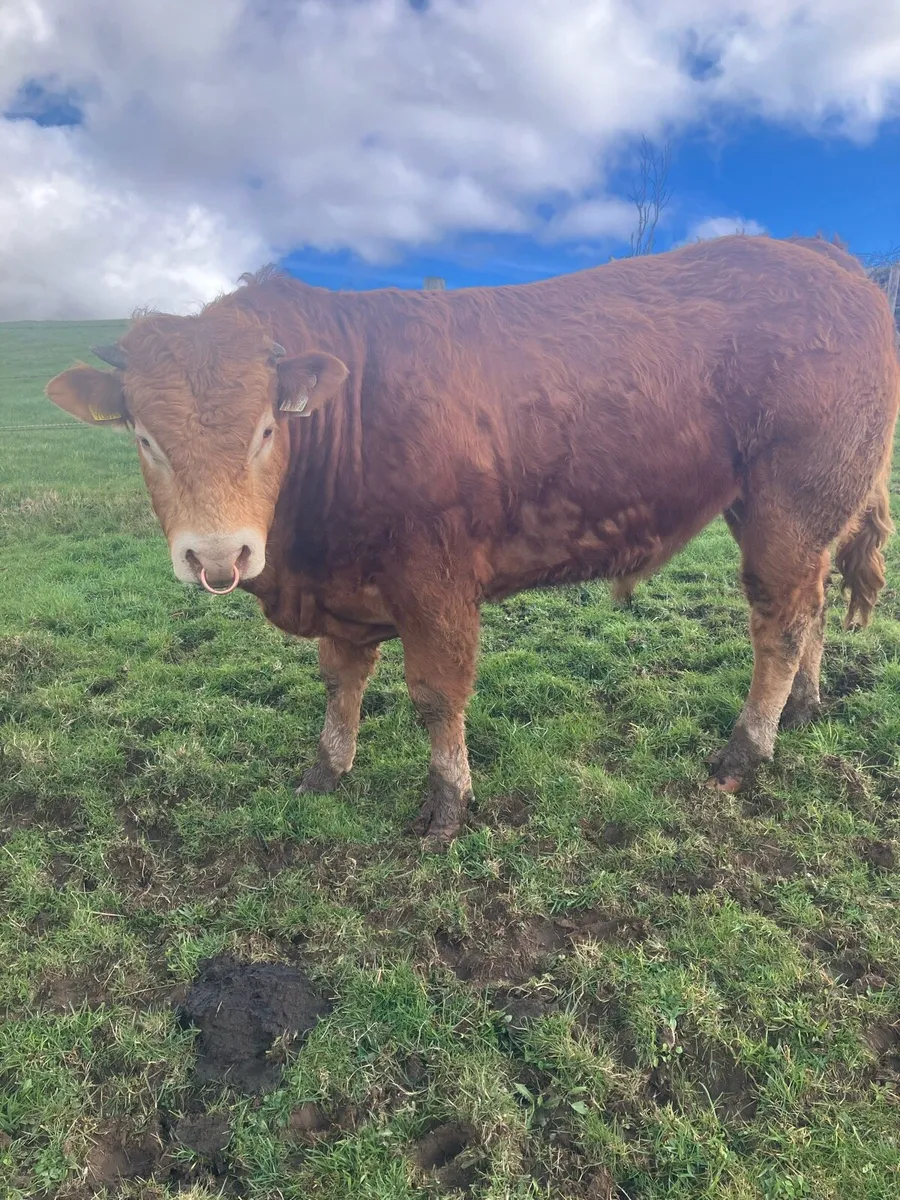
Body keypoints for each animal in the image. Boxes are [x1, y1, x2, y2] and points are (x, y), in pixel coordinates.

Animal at [45, 234, 899, 845]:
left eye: (265, 428)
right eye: (144, 437)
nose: (219, 556)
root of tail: (820, 256)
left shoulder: (435, 582)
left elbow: (436, 694)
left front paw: (447, 801)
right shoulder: (345, 586)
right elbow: (341, 680)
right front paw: (327, 768)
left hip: (790, 502)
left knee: (781, 618)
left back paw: (746, 748)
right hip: (805, 511)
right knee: (813, 602)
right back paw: (802, 709)